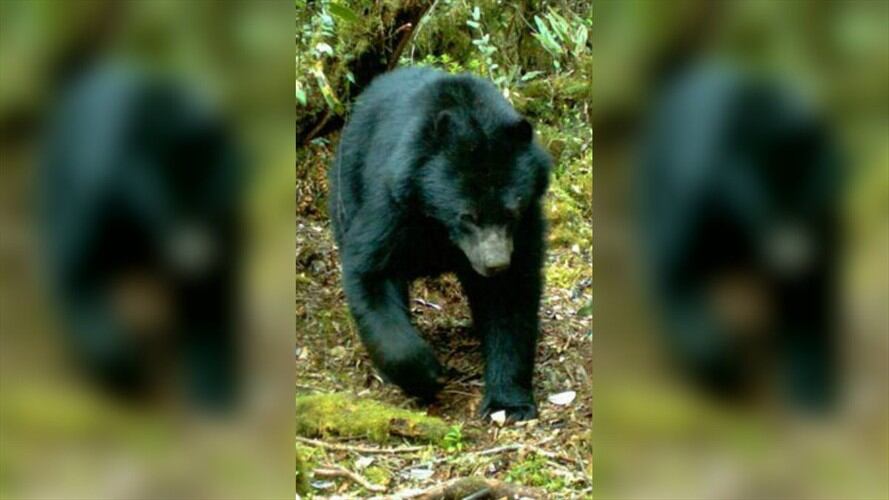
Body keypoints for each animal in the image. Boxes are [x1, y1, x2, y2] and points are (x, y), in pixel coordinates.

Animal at [328, 67, 551, 421]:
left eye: (511, 212)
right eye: (467, 216)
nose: (495, 264)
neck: (439, 226)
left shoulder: (526, 225)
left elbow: (510, 296)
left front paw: (509, 405)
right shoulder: (394, 200)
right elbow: (371, 270)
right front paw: (428, 374)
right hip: (348, 187)